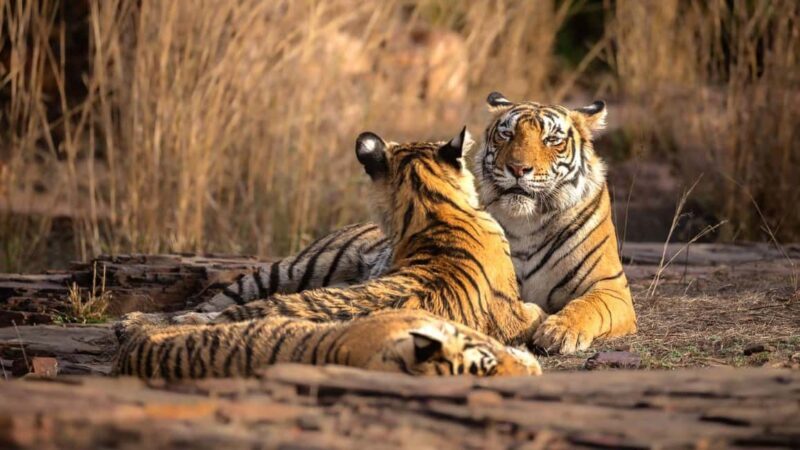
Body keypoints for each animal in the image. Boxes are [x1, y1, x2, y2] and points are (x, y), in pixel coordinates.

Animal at [184, 94, 636, 354]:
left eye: (551, 140)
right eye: (505, 136)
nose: (518, 169)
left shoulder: (611, 289)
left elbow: (585, 308)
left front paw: (560, 332)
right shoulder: (514, 306)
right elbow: (534, 310)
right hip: (291, 270)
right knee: (221, 299)